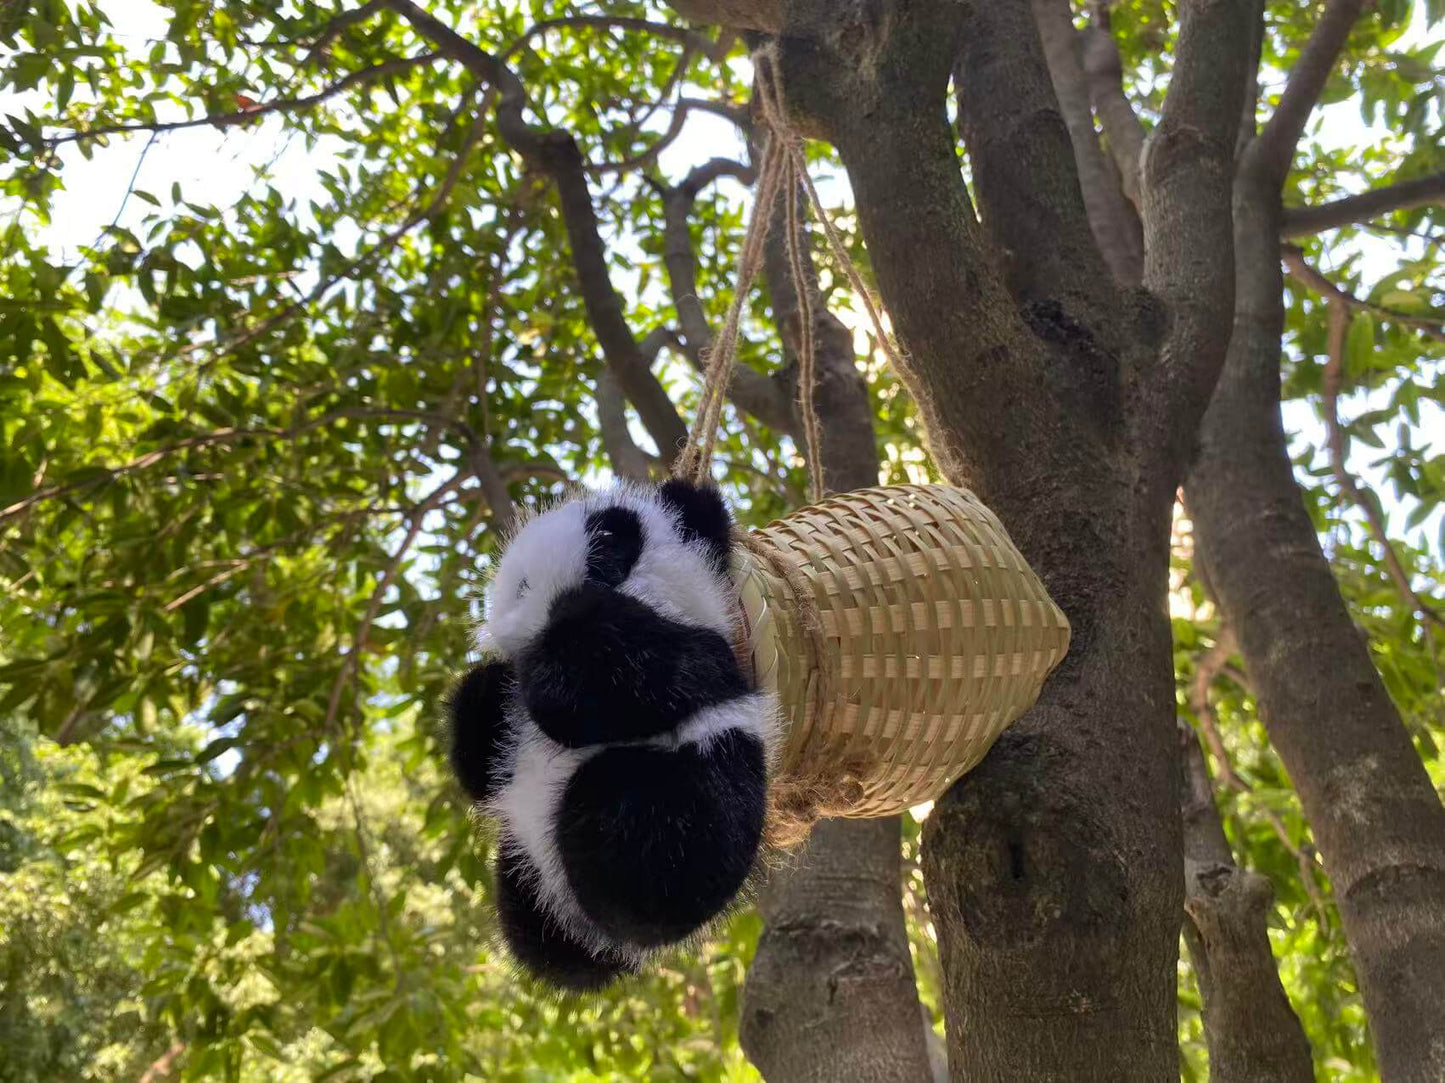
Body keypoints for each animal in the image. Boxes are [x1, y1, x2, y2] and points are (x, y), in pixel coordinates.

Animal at [447, 478, 773, 990]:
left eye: (607, 539)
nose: (501, 628)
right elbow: (478, 741)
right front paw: (489, 691)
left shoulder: (681, 650)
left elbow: (606, 678)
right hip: (526, 874)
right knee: (545, 942)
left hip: (676, 803)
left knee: (645, 856)